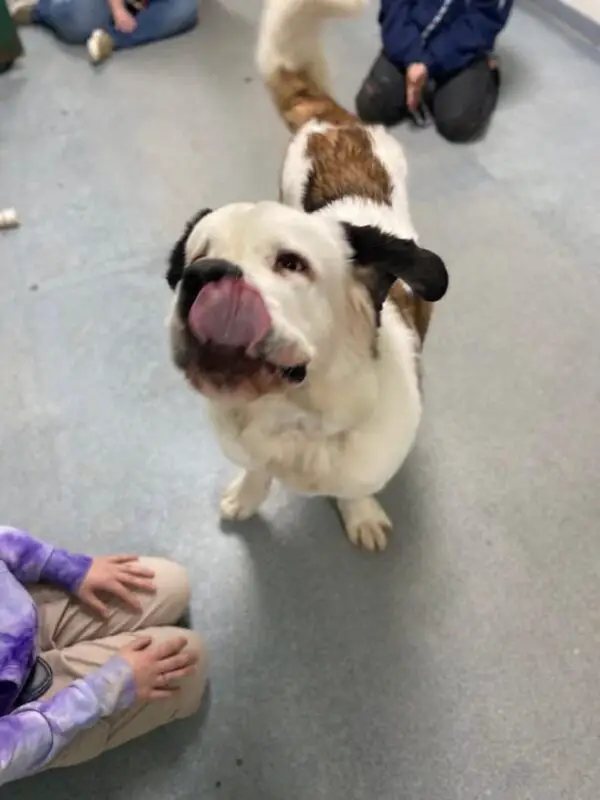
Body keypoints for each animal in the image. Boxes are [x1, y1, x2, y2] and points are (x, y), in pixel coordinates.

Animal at [166, 0, 448, 552]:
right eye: (195, 258)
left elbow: (355, 488)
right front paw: (247, 496)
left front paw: (360, 514)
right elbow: (256, 471)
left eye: (291, 263)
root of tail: (332, 119)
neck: (294, 419)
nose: (204, 275)